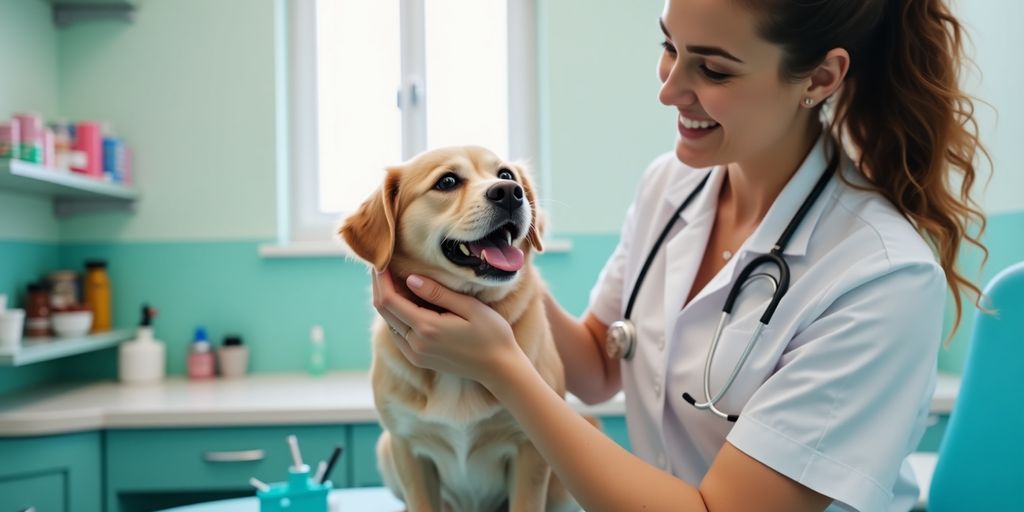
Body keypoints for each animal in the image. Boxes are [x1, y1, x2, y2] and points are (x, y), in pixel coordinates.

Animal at [335, 145, 577, 512]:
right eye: (447, 181)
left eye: (506, 175)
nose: (510, 193)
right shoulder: (408, 447)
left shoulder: (530, 451)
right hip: (386, 450)